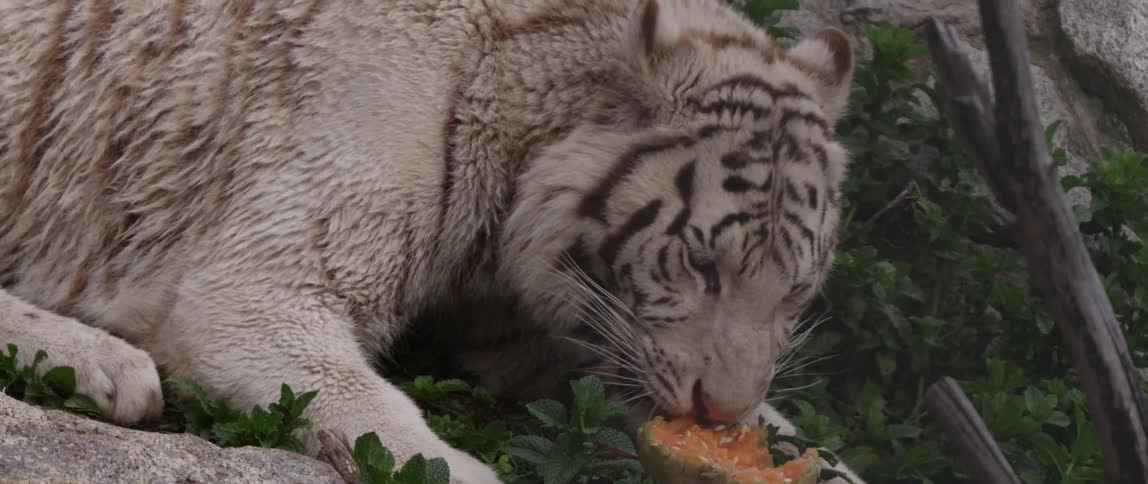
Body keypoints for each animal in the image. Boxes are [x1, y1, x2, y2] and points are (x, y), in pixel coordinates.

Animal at [0, 0, 862, 482]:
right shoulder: (262, 280)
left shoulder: (544, 329)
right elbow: (376, 413)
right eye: (703, 264)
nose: (718, 413)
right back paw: (107, 367)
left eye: (795, 294)